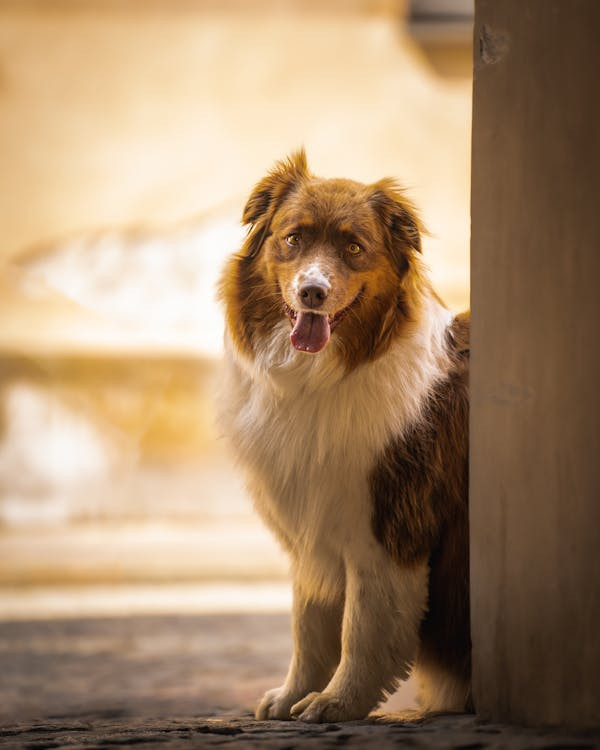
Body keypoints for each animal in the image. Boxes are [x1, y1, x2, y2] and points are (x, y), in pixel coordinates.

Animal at [218, 151, 472, 724]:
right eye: (293, 238)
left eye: (354, 247)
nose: (312, 292)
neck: (320, 378)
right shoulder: (313, 523)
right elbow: (309, 626)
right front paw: (293, 695)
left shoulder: (386, 527)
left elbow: (362, 628)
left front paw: (339, 702)